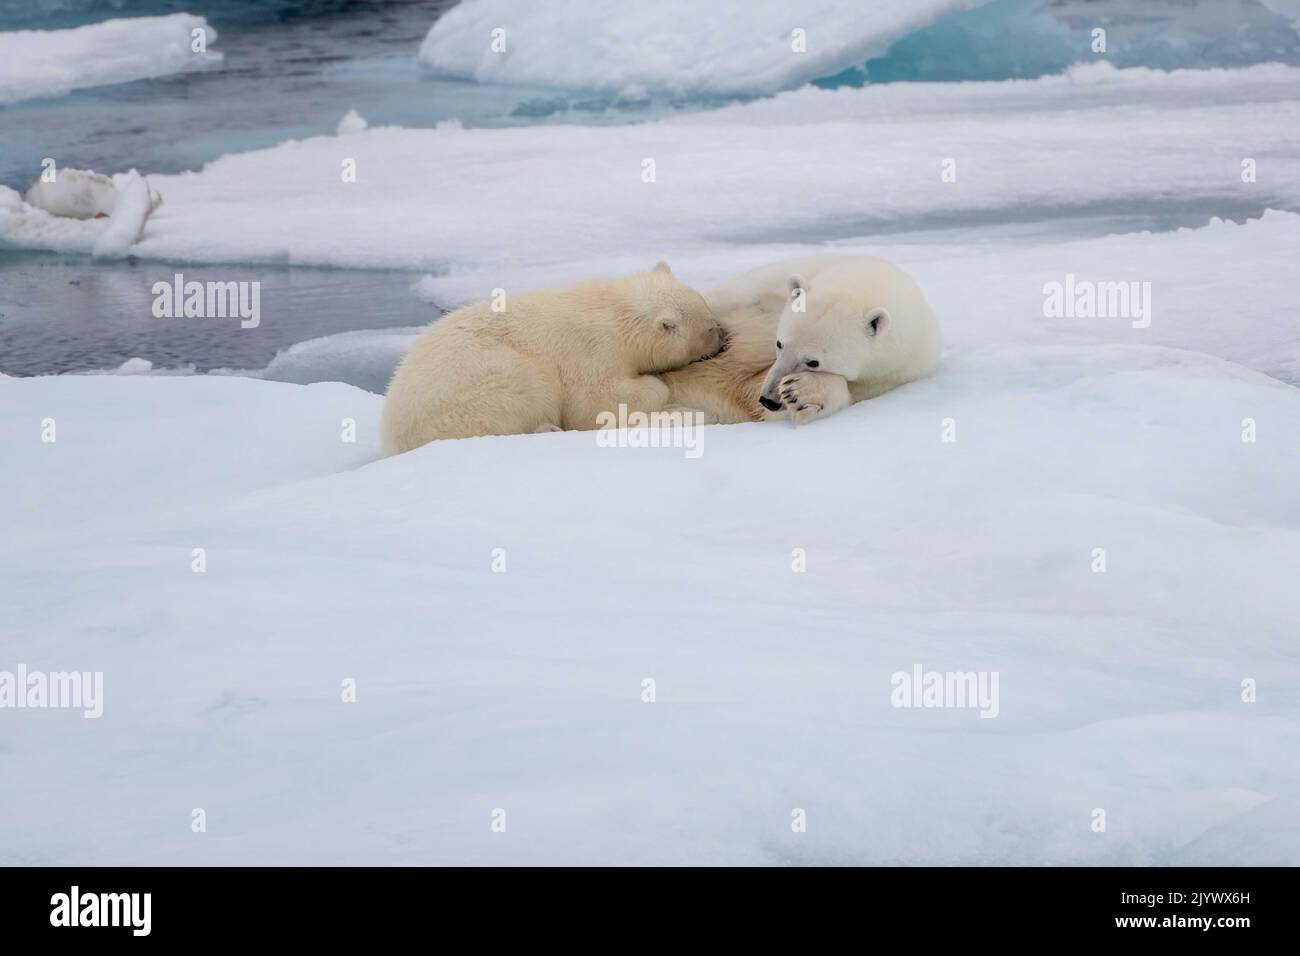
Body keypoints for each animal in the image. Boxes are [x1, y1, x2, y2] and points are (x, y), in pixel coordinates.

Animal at [665, 257, 941, 429]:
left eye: (814, 362)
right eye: (779, 343)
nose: (768, 399)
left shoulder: (890, 373)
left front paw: (800, 391)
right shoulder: (768, 287)